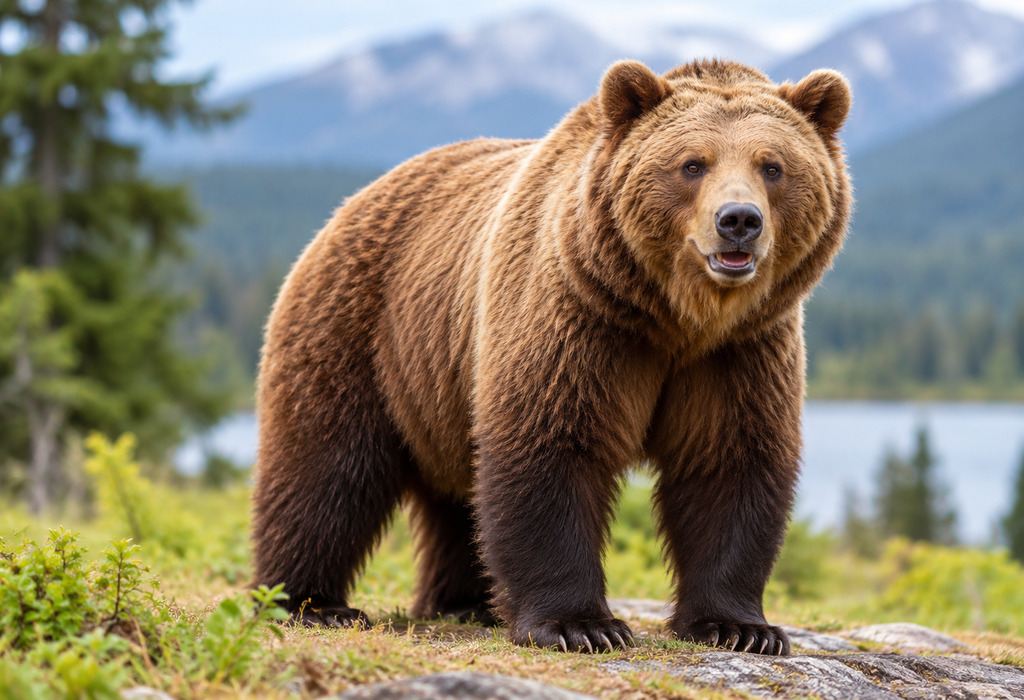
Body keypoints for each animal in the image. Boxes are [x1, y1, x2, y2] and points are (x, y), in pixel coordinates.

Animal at [251, 58, 852, 656]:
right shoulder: (578, 318)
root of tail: (353, 202)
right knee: (327, 468)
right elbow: (552, 444)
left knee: (457, 496)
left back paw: (465, 603)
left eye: (772, 166)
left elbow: (728, 461)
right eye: (692, 164)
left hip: (440, 386)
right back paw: (308, 602)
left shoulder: (741, 351)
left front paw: (741, 628)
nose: (739, 221)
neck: (676, 317)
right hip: (361, 331)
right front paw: (581, 625)